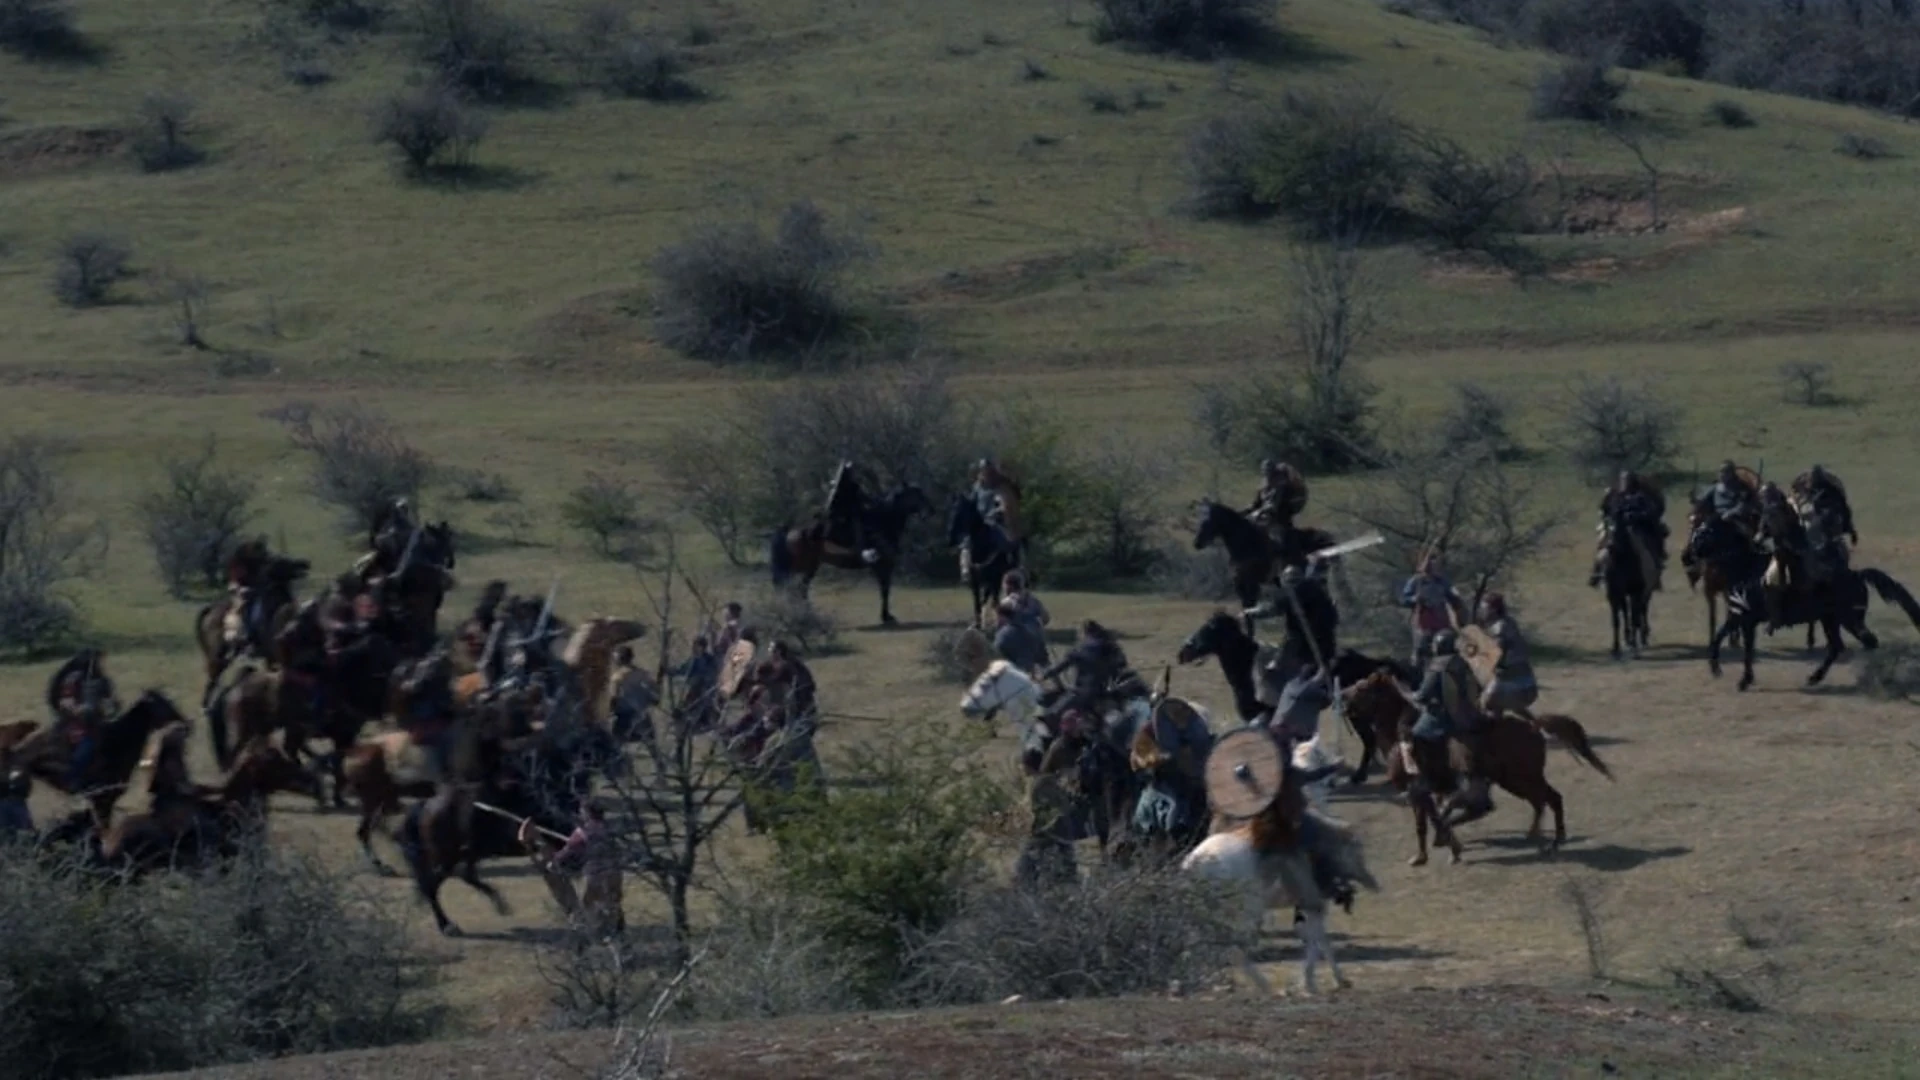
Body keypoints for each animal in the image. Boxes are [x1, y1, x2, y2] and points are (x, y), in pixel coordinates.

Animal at [770, 484, 931, 626]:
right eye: (918, 495)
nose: (931, 511)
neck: (883, 522)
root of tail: (790, 530)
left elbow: (884, 591)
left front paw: (886, 616)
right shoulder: (884, 565)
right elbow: (885, 591)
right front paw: (887, 617)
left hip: (809, 567)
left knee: (799, 590)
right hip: (804, 567)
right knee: (797, 590)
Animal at [947, 493, 1021, 627]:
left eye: (962, 512)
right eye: (951, 511)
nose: (950, 538)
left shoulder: (995, 579)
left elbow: (994, 601)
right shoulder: (975, 582)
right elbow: (977, 603)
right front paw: (977, 625)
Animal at [1174, 611, 1412, 783]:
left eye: (1209, 628)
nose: (1182, 653)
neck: (1248, 667)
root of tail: (1368, 662)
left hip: (1357, 713)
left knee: (1370, 739)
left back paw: (1360, 776)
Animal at [1191, 500, 1338, 635]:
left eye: (1208, 520)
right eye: (1199, 517)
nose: (1197, 543)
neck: (1248, 543)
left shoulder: (1251, 585)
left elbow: (1250, 615)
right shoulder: (1241, 586)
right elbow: (1247, 614)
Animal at [1344, 672, 1612, 864]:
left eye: (1362, 688)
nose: (1345, 703)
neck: (1398, 738)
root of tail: (1533, 727)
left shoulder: (1417, 791)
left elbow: (1427, 822)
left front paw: (1437, 852)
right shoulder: (1425, 793)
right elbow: (1432, 820)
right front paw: (1438, 849)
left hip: (1524, 777)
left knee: (1550, 799)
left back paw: (1554, 842)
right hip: (1514, 780)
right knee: (1541, 801)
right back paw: (1538, 836)